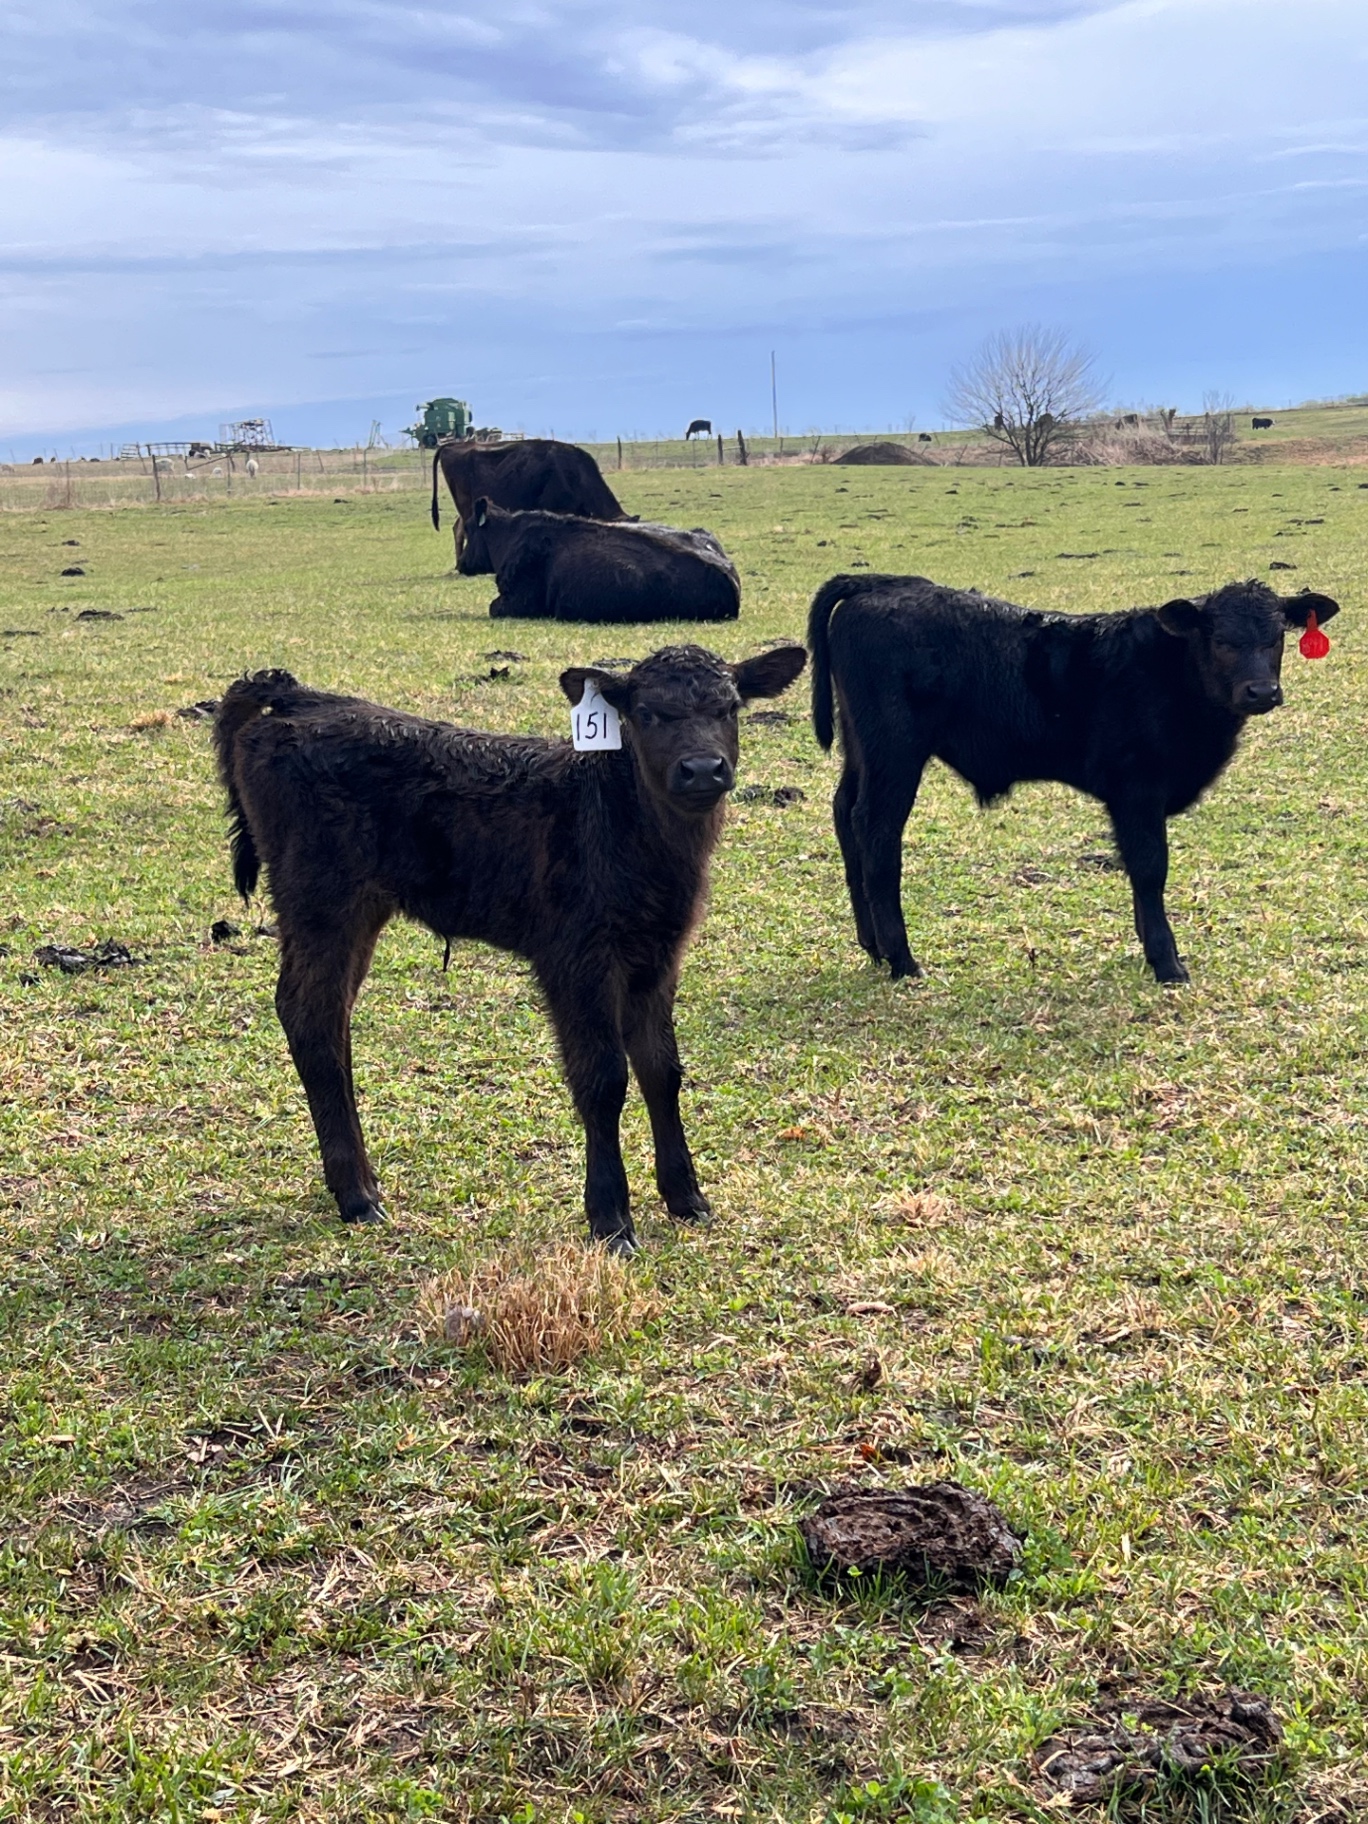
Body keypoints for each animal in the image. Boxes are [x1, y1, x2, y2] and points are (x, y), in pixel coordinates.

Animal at [214, 642, 807, 1251]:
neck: (614, 819)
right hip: (319, 898)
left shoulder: (658, 957)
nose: (702, 768)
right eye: (646, 713)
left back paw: (359, 1183)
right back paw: (357, 1196)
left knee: (329, 1018)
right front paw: (611, 1219)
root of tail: (298, 695)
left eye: (730, 708)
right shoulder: (575, 957)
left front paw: (687, 1198)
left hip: (358, 907)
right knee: (309, 1014)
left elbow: (662, 1070)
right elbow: (603, 1078)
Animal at [808, 573, 1339, 984]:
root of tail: (881, 585)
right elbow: (1150, 868)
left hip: (862, 751)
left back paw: (872, 946)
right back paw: (902, 959)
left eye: (1276, 637)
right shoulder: (1137, 789)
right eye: (1222, 641)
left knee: (844, 814)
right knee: (878, 833)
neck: (1171, 673)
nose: (1262, 691)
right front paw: (1167, 963)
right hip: (894, 755)